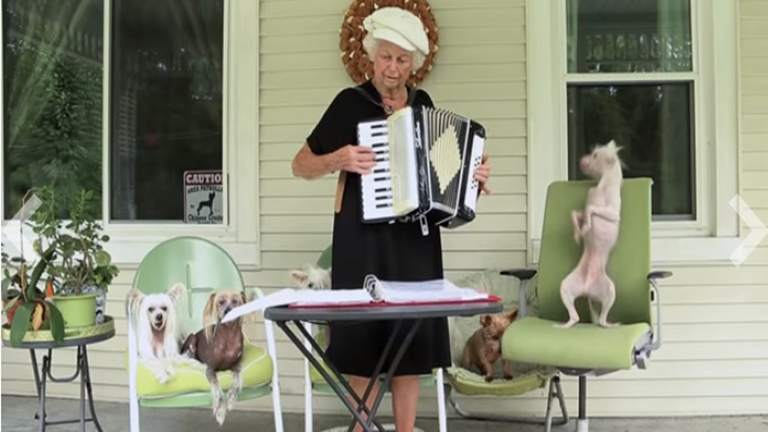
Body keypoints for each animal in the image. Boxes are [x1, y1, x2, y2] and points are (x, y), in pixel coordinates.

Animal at [181, 289, 247, 425]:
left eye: (235, 301)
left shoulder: (236, 365)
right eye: (220, 302)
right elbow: (217, 387)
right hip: (192, 338)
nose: (228, 310)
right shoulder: (210, 368)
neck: (229, 335)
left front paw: (231, 398)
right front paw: (221, 410)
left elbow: (236, 380)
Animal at [557, 140, 624, 329]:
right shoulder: (582, 209)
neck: (602, 184)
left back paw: (611, 325)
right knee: (575, 317)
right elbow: (575, 213)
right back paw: (562, 326)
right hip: (566, 286)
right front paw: (578, 233)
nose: (581, 159)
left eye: (594, 155)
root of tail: (587, 289)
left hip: (610, 290)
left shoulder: (613, 213)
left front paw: (586, 227)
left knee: (601, 320)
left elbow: (591, 209)